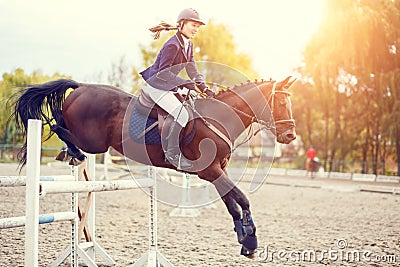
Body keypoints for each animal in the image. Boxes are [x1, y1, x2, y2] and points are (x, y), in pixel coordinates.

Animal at [10, 76, 296, 256]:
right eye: (281, 103)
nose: (290, 136)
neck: (219, 117)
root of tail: (82, 87)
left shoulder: (216, 172)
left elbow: (233, 204)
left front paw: (245, 241)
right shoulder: (210, 171)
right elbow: (243, 199)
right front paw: (252, 240)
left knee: (59, 124)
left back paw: (69, 154)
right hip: (94, 142)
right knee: (56, 124)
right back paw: (71, 153)